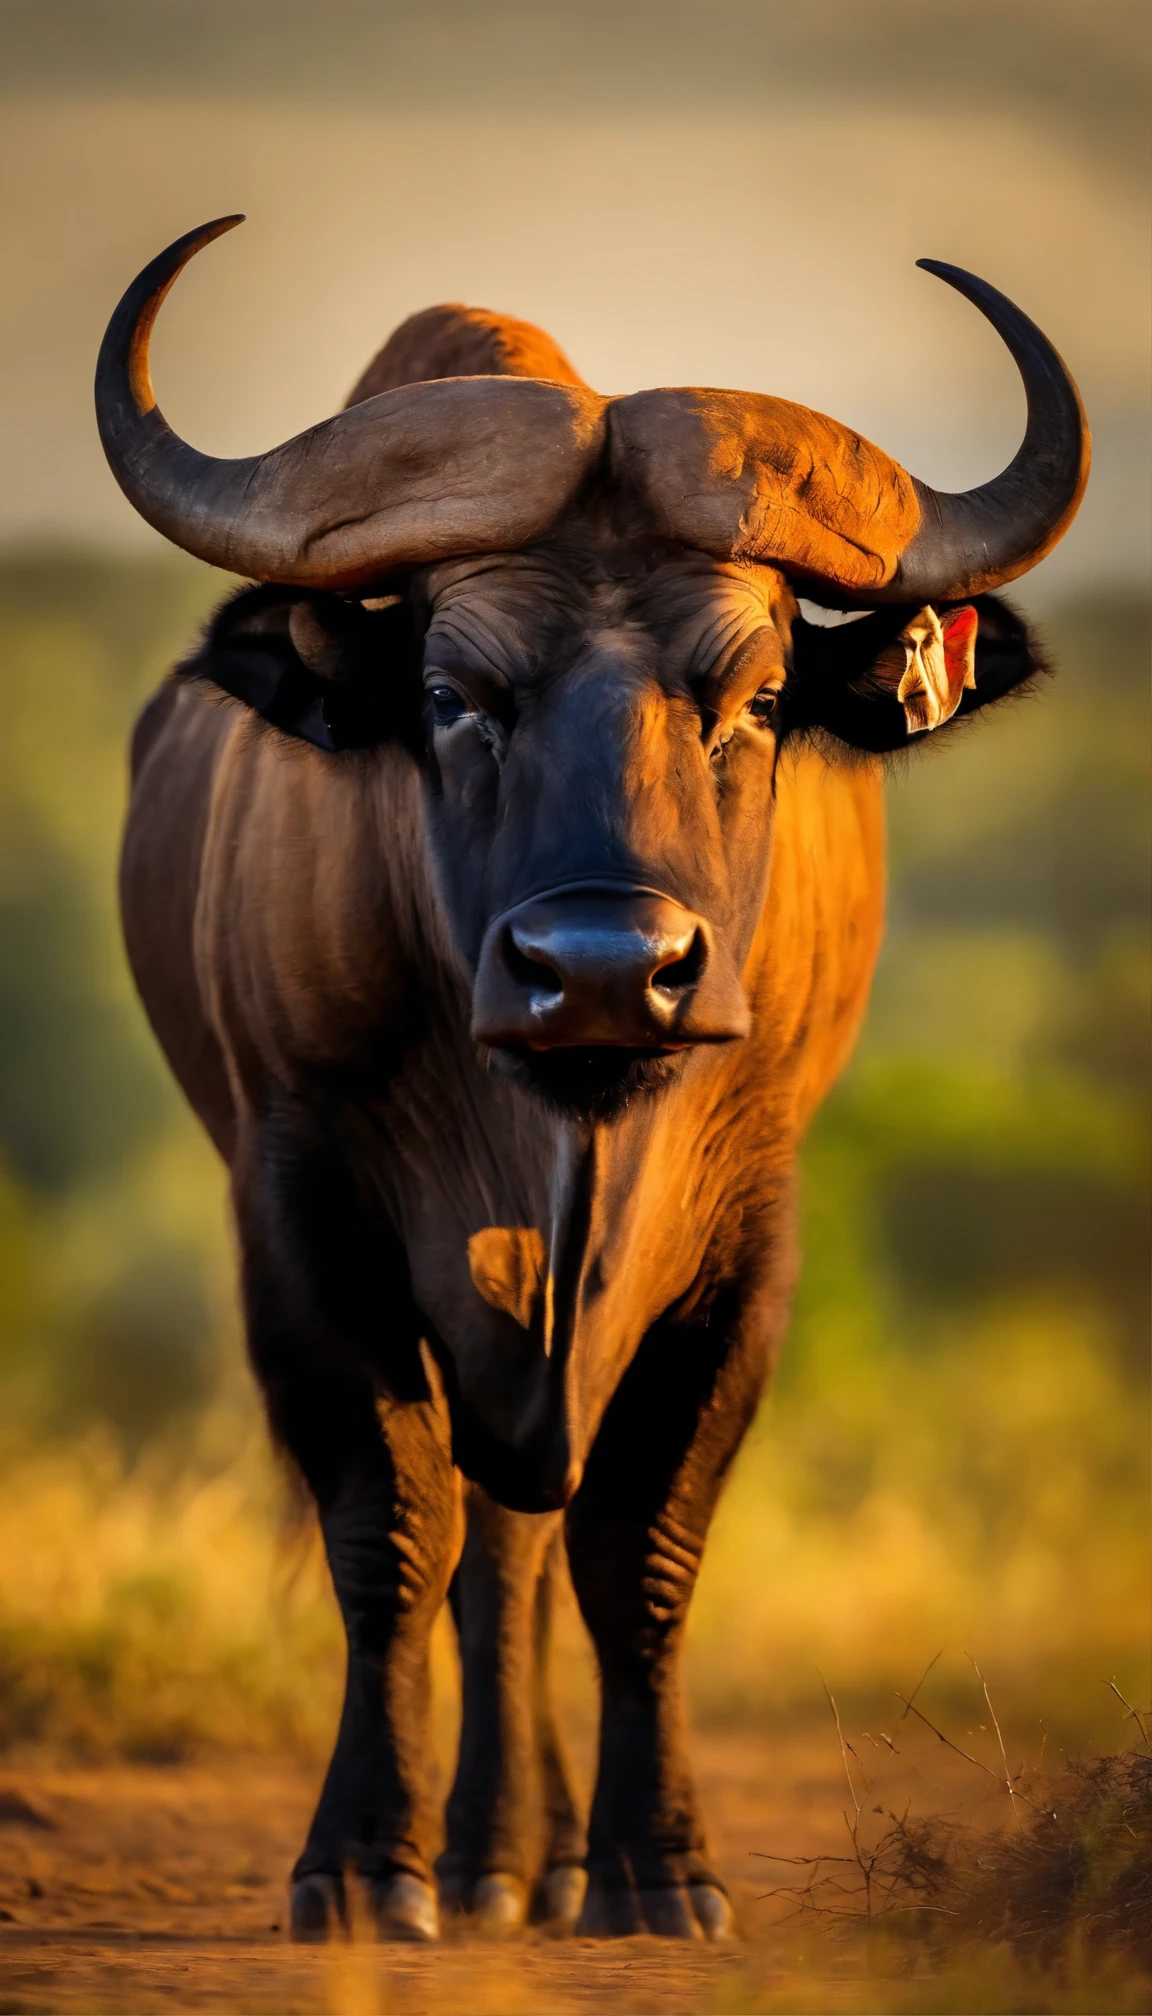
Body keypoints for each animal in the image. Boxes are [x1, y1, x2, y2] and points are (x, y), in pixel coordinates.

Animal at [99, 216, 1089, 1935]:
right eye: (450, 694)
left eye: (759, 698)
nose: (610, 967)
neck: (557, 1122)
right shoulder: (300, 1204)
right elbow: (395, 1526)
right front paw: (365, 1863)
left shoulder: (755, 1227)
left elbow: (642, 1539)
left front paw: (660, 1865)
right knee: (491, 1550)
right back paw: (494, 1857)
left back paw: (539, 1856)